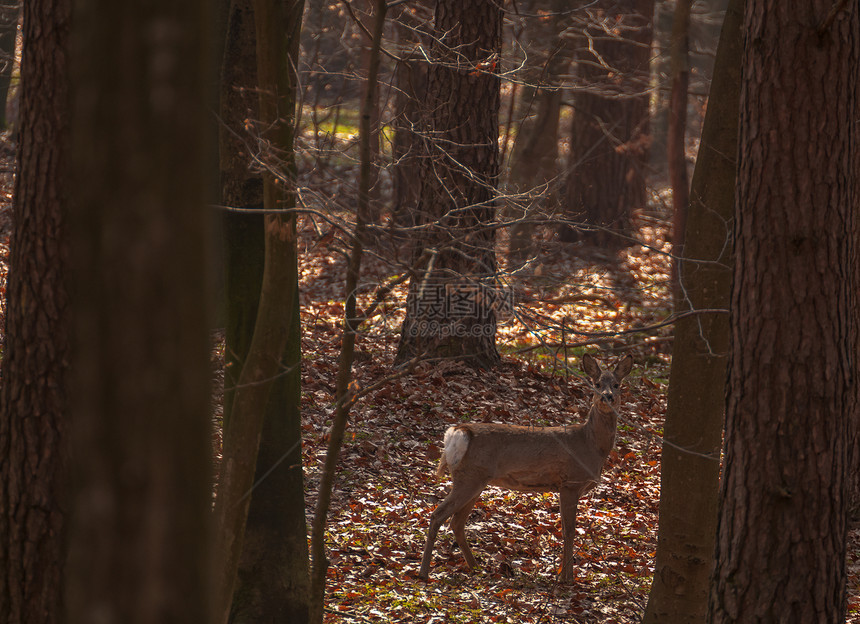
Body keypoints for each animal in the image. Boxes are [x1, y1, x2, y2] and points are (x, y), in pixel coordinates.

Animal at [420, 354, 636, 584]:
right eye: (596, 384)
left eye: (617, 384)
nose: (607, 397)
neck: (590, 445)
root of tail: (459, 431)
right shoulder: (570, 483)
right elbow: (569, 531)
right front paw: (567, 578)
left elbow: (566, 530)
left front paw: (563, 575)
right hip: (469, 478)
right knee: (438, 515)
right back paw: (424, 572)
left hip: (475, 480)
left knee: (457, 523)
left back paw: (476, 567)